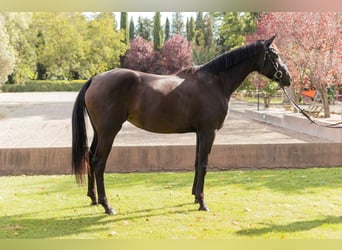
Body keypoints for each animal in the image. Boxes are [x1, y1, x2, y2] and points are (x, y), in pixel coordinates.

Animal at [71, 35, 292, 215]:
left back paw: (93, 199)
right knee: (99, 162)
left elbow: (196, 162)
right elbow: (203, 164)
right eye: (275, 55)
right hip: (109, 133)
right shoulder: (208, 132)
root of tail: (95, 79)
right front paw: (202, 203)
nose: (288, 78)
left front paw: (194, 196)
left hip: (99, 132)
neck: (214, 82)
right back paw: (107, 205)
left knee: (89, 156)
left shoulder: (199, 133)